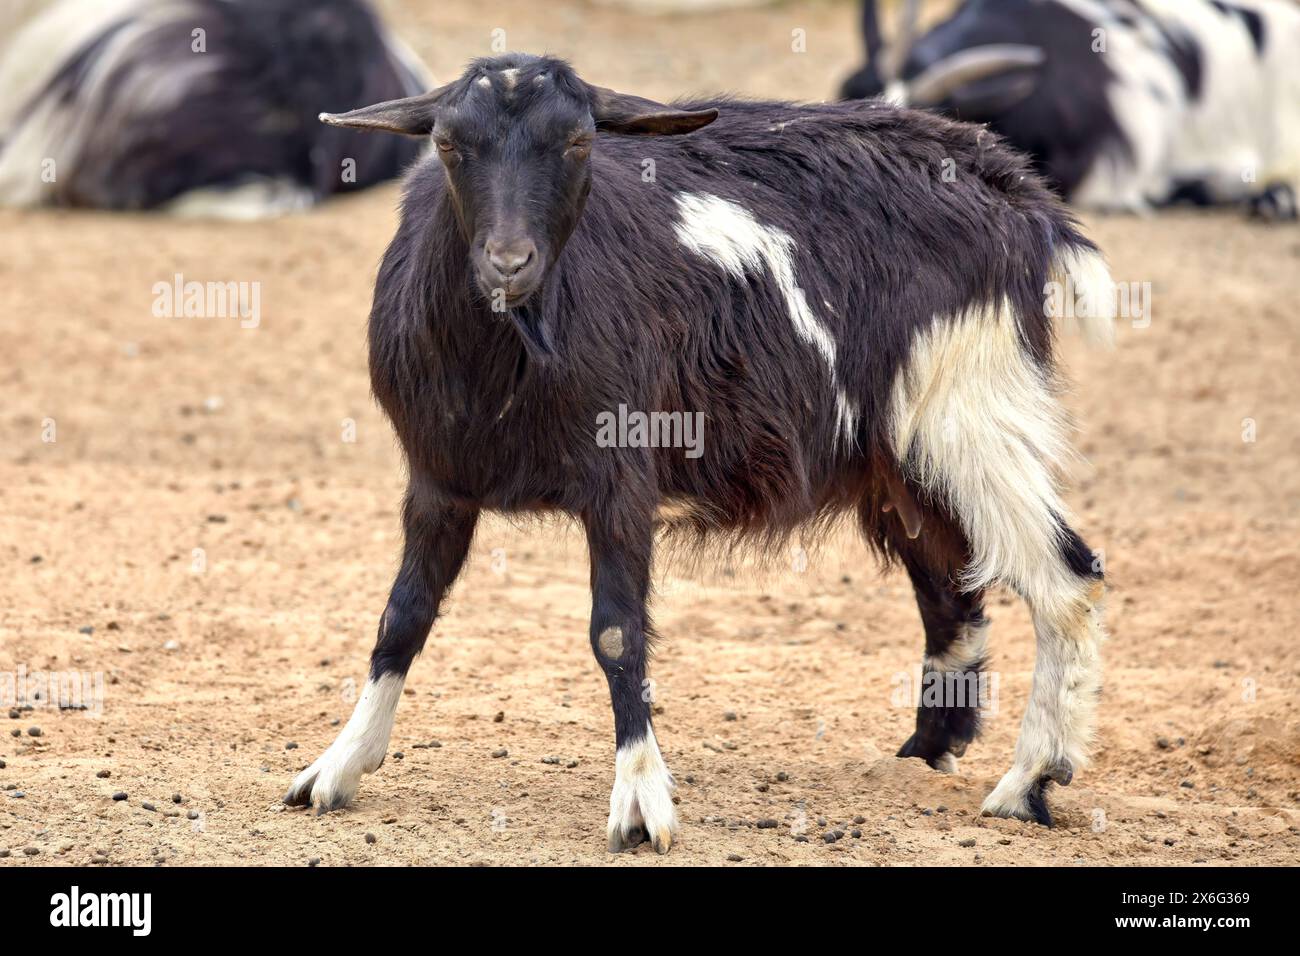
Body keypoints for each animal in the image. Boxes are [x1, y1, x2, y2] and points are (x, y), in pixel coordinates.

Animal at [283, 52, 1118, 852]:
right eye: (449, 144)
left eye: (579, 142)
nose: (508, 262)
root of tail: (1012, 189)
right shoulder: (437, 482)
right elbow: (403, 615)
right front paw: (335, 767)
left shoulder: (620, 482)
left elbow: (616, 631)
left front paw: (639, 802)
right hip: (902, 460)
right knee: (951, 588)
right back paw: (926, 753)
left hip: (968, 407)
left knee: (1065, 579)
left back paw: (1031, 781)